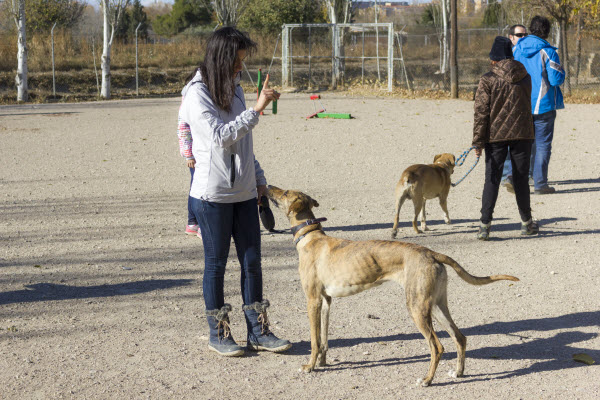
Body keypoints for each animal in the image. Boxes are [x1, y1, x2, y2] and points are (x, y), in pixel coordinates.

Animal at [264, 186, 516, 386]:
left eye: (284, 193)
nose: (266, 186)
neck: (311, 237)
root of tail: (431, 253)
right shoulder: (326, 301)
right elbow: (324, 339)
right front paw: (323, 363)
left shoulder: (313, 301)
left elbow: (315, 341)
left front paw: (310, 366)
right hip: (435, 305)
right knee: (460, 338)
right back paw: (458, 373)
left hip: (417, 308)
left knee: (437, 347)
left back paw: (427, 380)